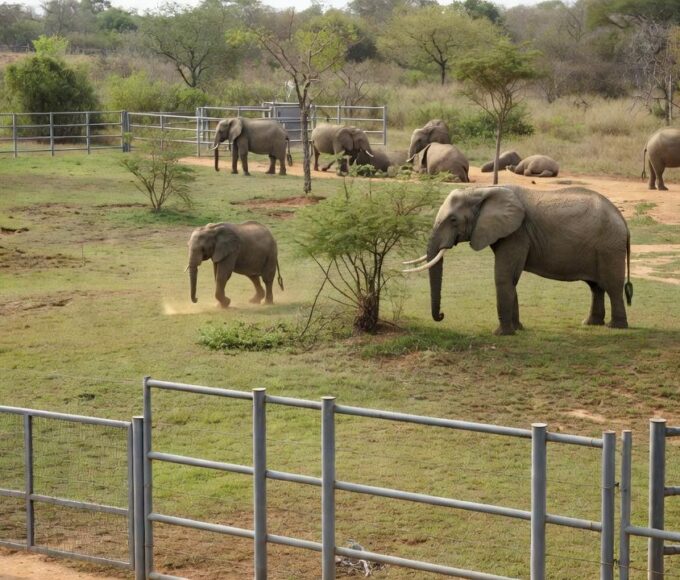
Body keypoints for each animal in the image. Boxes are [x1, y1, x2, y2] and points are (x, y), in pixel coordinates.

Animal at [403, 185, 633, 335]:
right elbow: (511, 279)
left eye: (453, 220)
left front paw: (501, 334)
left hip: (609, 247)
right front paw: (518, 329)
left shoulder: (517, 232)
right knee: (595, 287)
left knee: (612, 286)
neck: (482, 191)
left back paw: (616, 327)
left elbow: (504, 277)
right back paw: (590, 324)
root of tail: (623, 221)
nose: (442, 315)